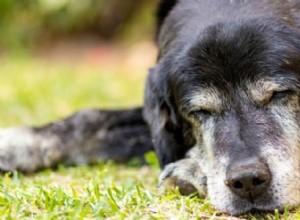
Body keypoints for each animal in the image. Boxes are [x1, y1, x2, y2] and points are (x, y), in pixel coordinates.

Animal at [0, 0, 300, 215]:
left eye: (279, 94)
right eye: (199, 111)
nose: (247, 181)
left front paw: (192, 171)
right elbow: (91, 120)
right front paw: (15, 143)